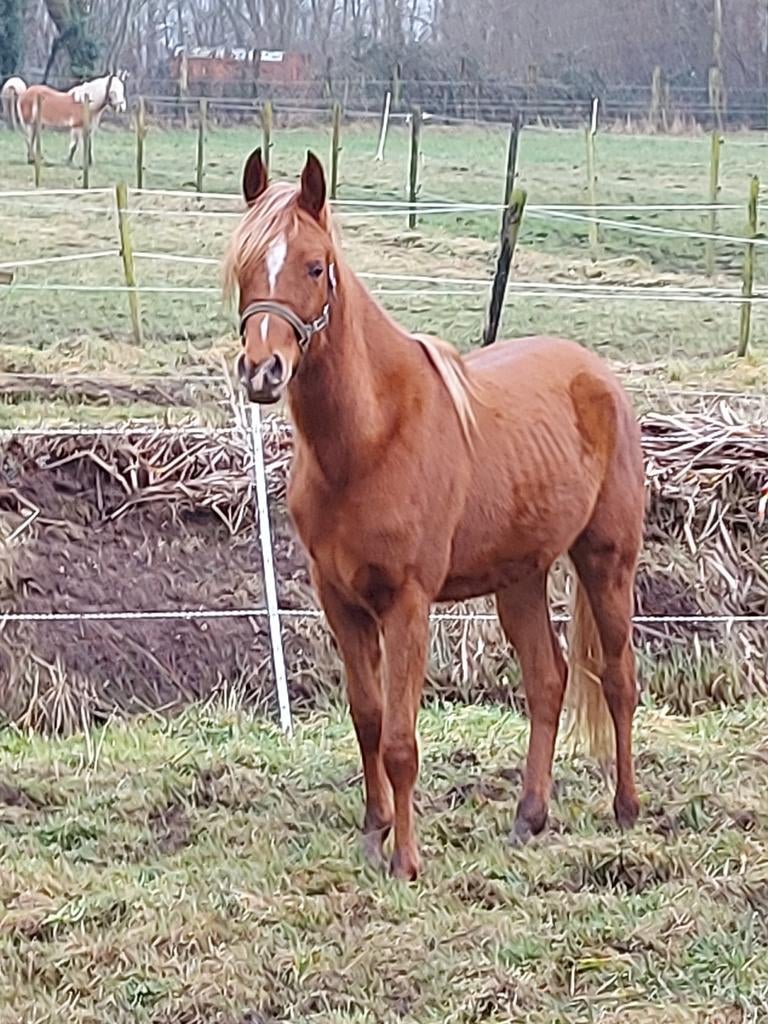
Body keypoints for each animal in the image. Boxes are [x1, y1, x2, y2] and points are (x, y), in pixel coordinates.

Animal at [226, 149, 645, 881]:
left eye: (315, 265)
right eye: (248, 264)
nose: (262, 371)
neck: (369, 438)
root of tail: (600, 377)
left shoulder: (408, 604)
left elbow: (400, 739)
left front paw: (406, 861)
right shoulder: (342, 602)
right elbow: (368, 720)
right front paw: (374, 834)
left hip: (606, 563)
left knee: (618, 679)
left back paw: (625, 810)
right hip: (520, 578)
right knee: (549, 681)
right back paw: (529, 816)